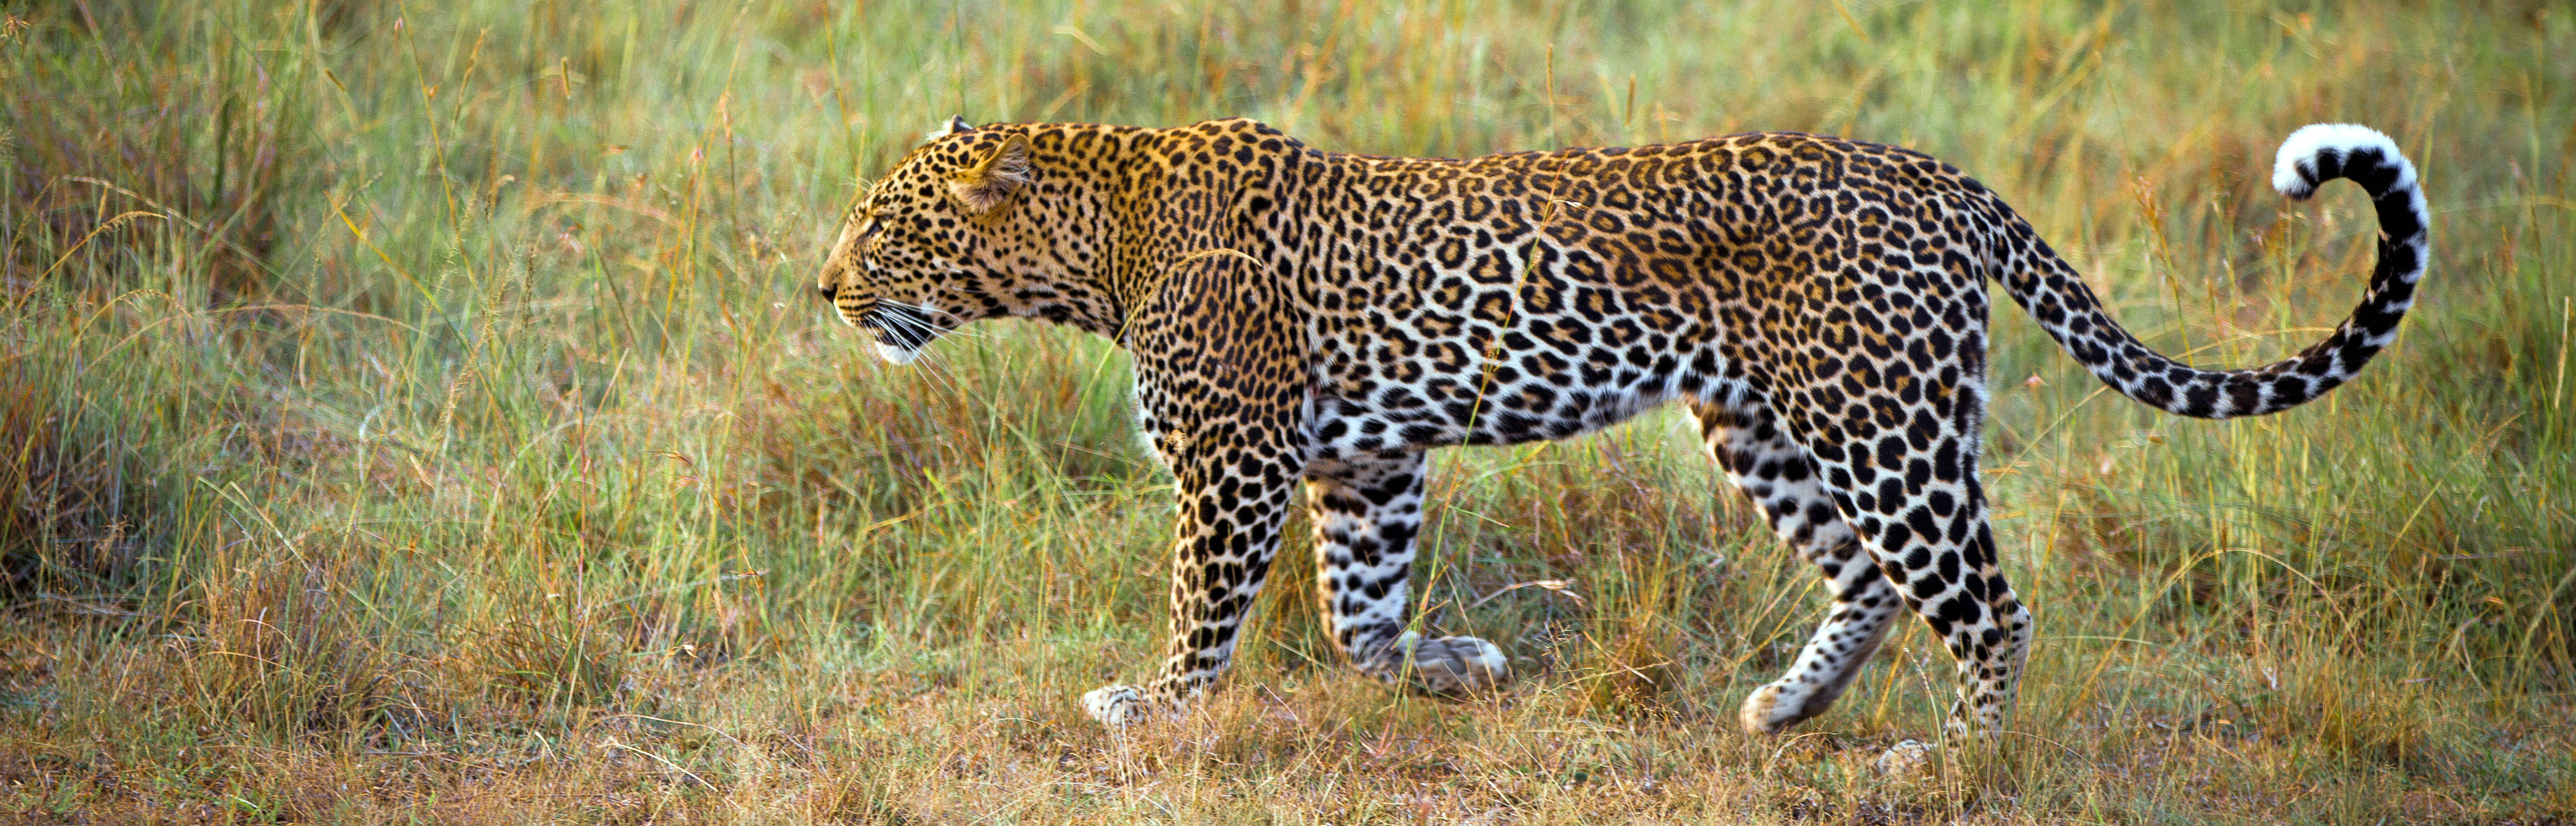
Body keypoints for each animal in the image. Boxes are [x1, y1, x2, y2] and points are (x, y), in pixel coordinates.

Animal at [814, 110, 2421, 761]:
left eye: (882, 227)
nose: (823, 287)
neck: (1100, 237)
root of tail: (1937, 175)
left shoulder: (1237, 460)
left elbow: (1207, 614)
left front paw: (1149, 706)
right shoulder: (1366, 459)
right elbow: (1352, 611)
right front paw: (1446, 666)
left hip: (1879, 419)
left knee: (1985, 599)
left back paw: (1950, 764)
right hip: (1764, 418)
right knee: (1874, 575)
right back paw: (1789, 707)